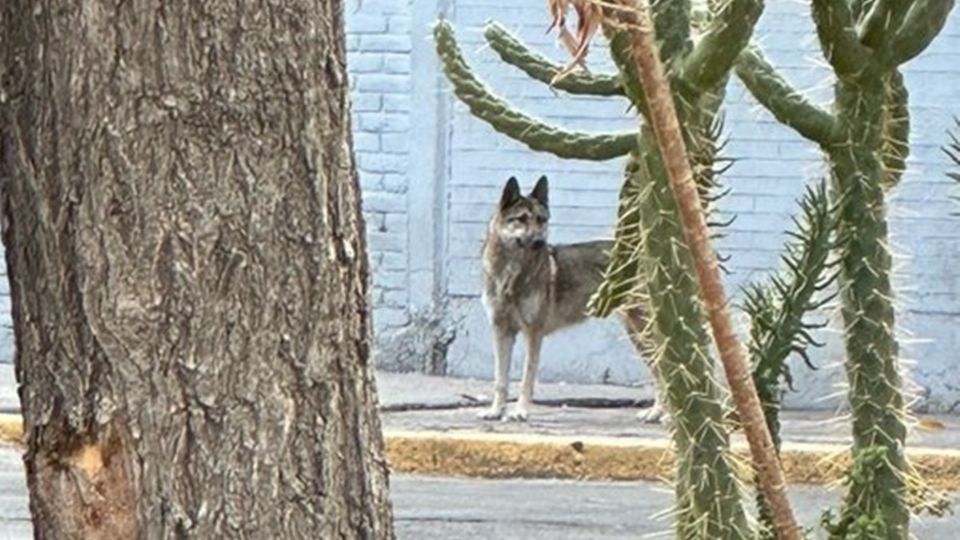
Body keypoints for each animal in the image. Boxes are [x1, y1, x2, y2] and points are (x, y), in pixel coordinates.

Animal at [478, 176, 664, 422]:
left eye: (541, 220)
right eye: (521, 219)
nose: (539, 242)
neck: (511, 273)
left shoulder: (533, 334)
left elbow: (527, 379)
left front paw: (520, 411)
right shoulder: (501, 332)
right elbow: (500, 379)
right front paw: (496, 411)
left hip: (643, 330)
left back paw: (664, 415)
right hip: (637, 334)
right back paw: (657, 413)